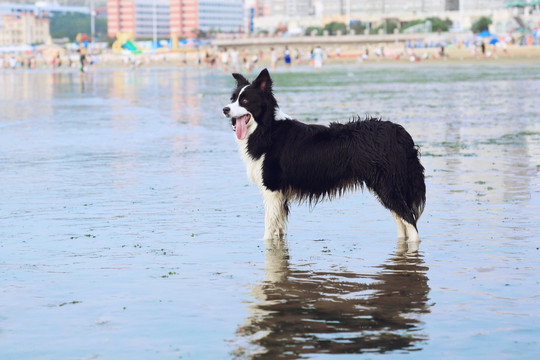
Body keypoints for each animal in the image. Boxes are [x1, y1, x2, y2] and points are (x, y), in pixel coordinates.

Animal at [221, 68, 424, 242]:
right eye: (232, 99)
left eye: (245, 101)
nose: (225, 109)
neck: (266, 128)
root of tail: (399, 132)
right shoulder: (280, 195)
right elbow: (278, 228)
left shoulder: (272, 189)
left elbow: (268, 229)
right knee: (401, 220)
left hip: (386, 185)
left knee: (409, 219)